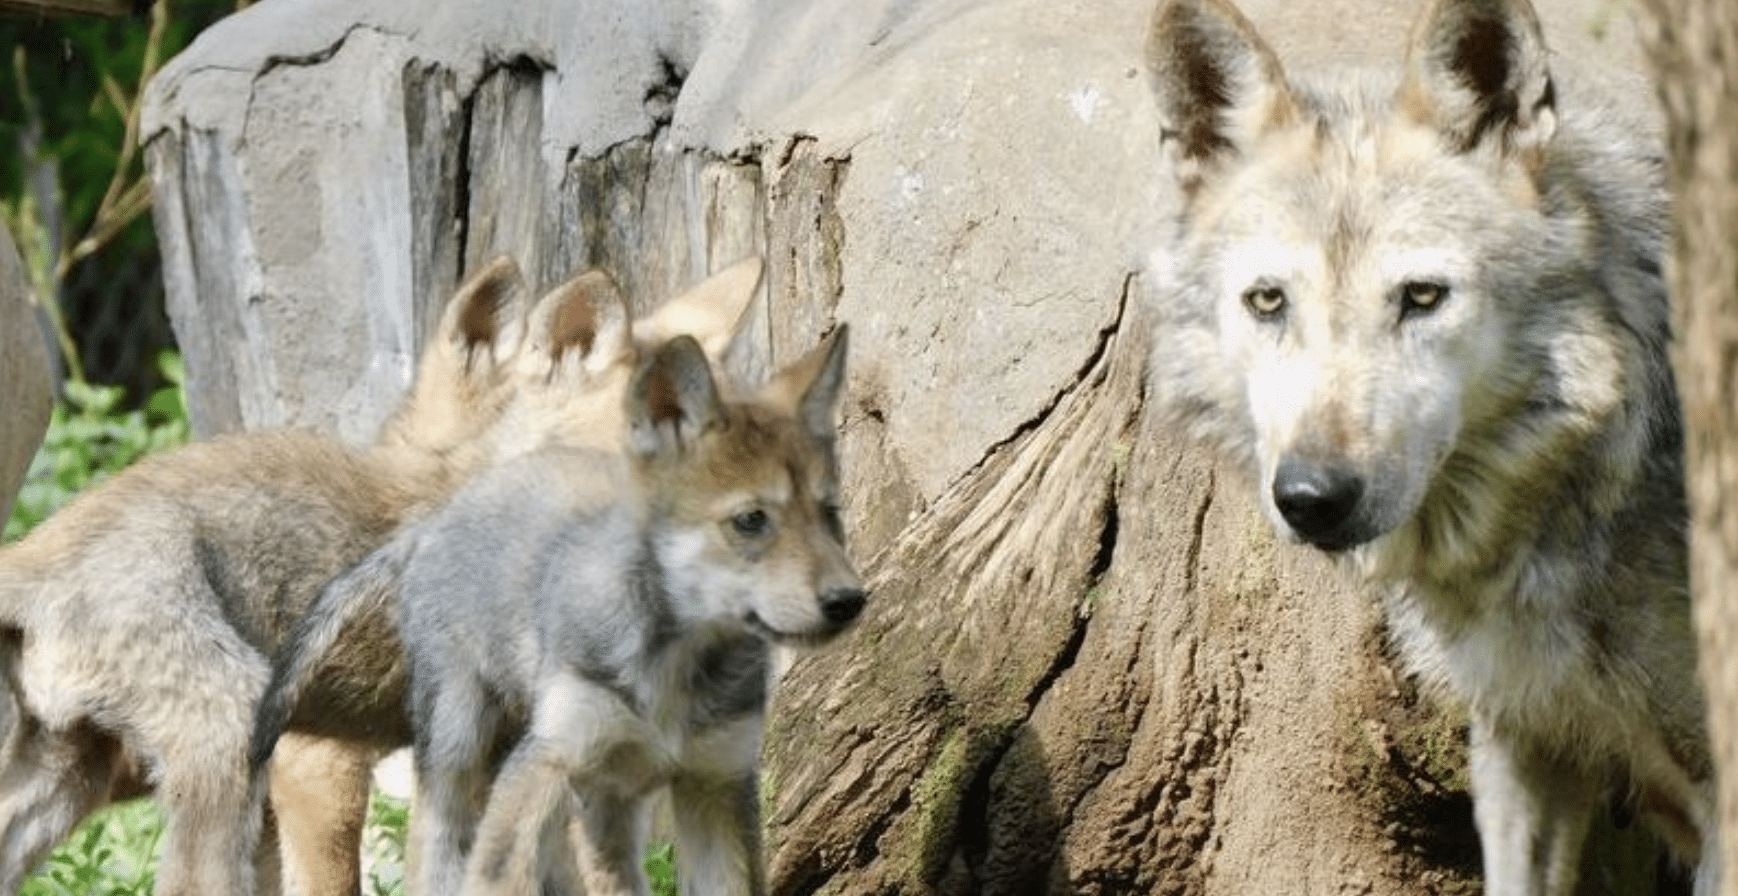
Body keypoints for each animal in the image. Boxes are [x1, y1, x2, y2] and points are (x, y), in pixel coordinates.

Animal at [254, 328, 861, 896]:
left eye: (830, 513)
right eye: (751, 520)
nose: (849, 601)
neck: (673, 665)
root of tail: (440, 515)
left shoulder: (715, 781)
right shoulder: (548, 759)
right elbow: (492, 878)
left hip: (602, 800)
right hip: (461, 741)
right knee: (433, 848)